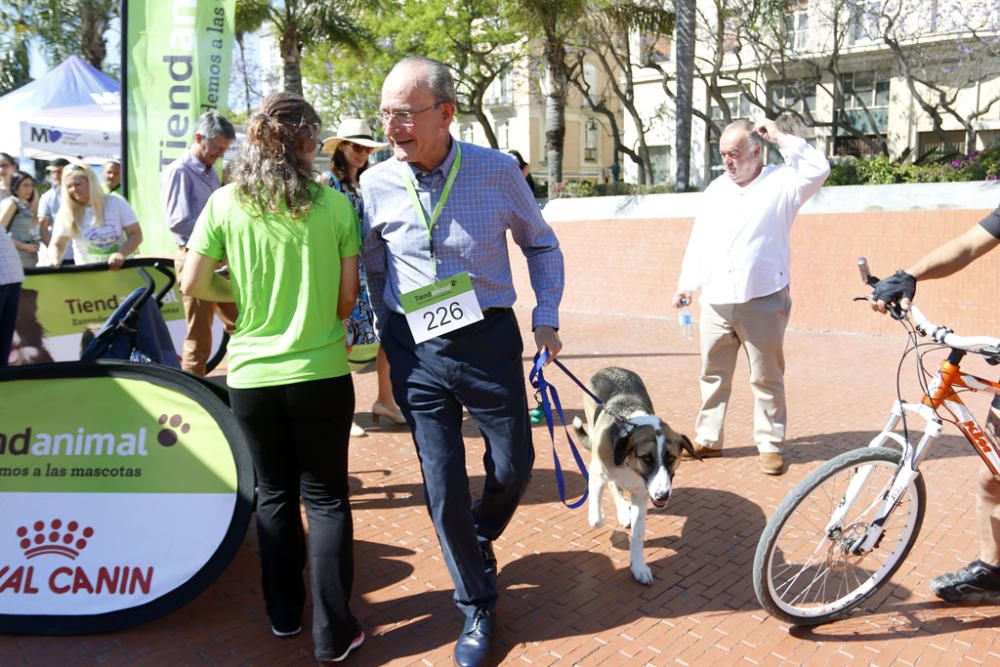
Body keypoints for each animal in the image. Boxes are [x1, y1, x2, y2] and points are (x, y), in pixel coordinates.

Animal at [572, 368, 696, 580]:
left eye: (671, 458)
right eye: (646, 458)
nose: (662, 496)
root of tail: (610, 368)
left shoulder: (641, 493)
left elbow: (638, 534)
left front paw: (638, 565)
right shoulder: (596, 473)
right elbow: (596, 518)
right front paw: (604, 517)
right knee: (613, 486)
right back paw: (622, 511)